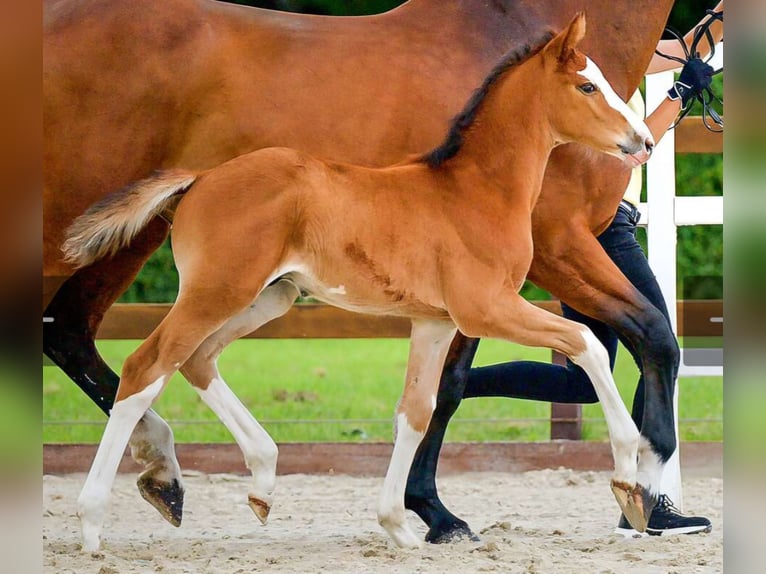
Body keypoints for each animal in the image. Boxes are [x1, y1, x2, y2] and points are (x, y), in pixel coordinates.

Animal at [43, 0, 677, 541]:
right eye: (587, 85)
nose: (643, 141)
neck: (473, 188)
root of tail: (199, 178)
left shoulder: (437, 321)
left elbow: (419, 409)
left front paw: (404, 523)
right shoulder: (495, 301)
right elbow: (593, 344)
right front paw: (632, 477)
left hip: (266, 296)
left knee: (187, 358)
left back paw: (255, 480)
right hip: (209, 287)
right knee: (143, 363)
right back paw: (98, 518)